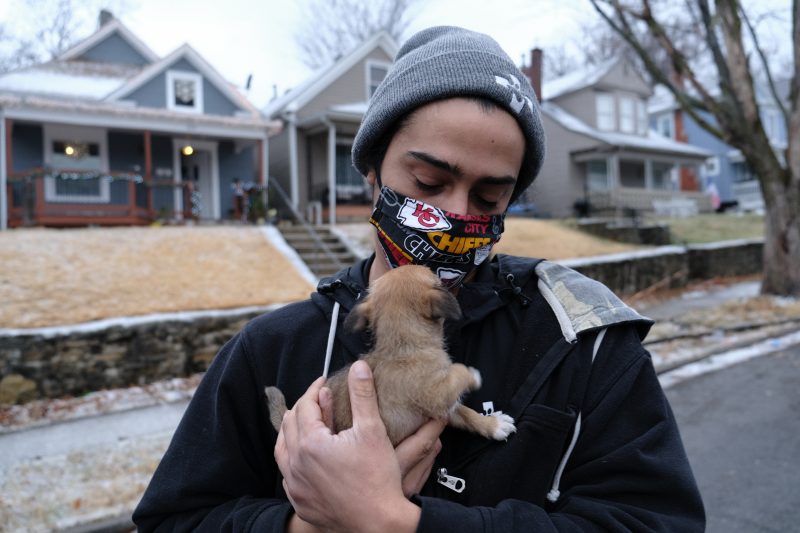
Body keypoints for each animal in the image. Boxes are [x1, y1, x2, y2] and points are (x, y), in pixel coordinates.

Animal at [266, 264, 516, 444]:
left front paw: (493, 424)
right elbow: (459, 372)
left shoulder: (443, 408)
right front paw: (474, 376)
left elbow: (466, 414)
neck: (402, 344)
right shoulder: (436, 394)